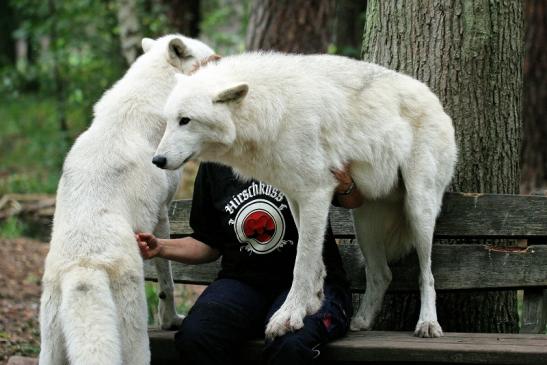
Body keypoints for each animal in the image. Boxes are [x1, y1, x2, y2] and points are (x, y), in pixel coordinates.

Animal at [38, 34, 214, 364]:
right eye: (211, 59)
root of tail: (84, 267)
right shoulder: (162, 213)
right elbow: (167, 281)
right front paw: (171, 321)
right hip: (136, 342)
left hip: (50, 347)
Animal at [154, 51, 458, 338]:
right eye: (168, 121)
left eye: (186, 120)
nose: (157, 160)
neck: (272, 110)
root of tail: (437, 102)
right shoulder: (296, 197)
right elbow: (312, 257)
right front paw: (312, 302)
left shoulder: (316, 193)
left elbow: (301, 261)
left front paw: (288, 316)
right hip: (364, 223)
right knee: (382, 274)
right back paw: (361, 321)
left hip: (418, 209)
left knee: (427, 275)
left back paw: (428, 323)